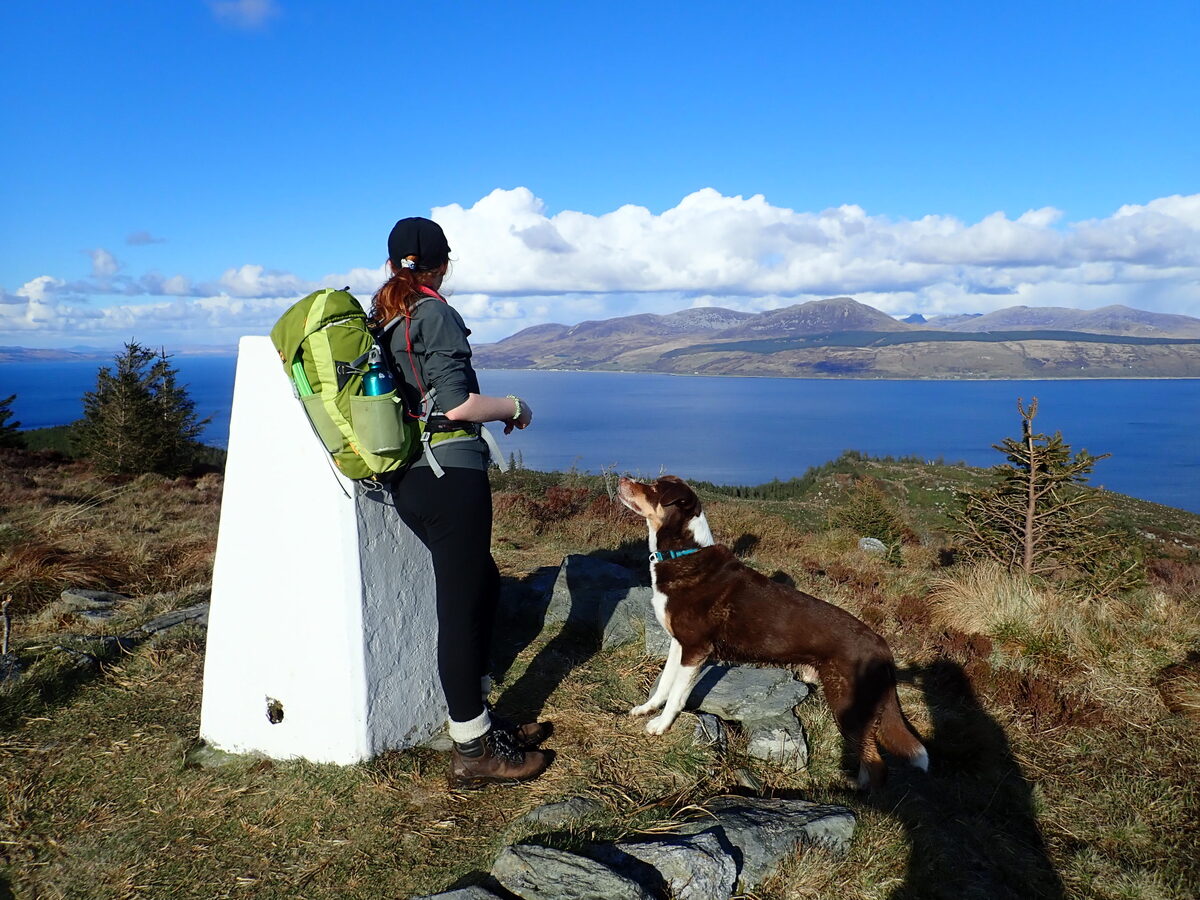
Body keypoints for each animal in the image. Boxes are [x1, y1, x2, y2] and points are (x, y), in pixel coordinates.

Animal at [619, 475, 926, 787]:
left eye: (654, 488)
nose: (622, 479)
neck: (683, 552)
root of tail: (882, 645)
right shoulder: (678, 644)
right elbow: (665, 684)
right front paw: (648, 708)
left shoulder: (695, 650)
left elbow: (677, 695)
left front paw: (660, 725)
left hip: (848, 705)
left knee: (876, 765)